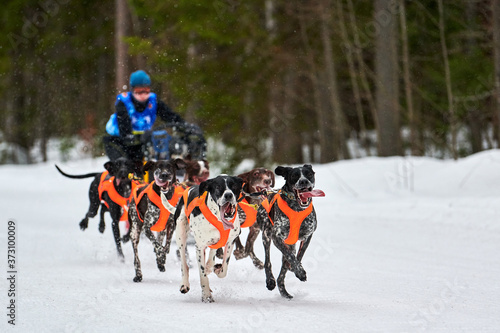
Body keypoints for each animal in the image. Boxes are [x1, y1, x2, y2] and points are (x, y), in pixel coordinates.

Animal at [258, 164, 324, 298]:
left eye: (309, 174)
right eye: (294, 176)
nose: (303, 181)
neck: (297, 209)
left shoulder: (307, 235)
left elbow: (299, 256)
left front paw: (297, 269)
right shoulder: (276, 237)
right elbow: (290, 256)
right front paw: (300, 272)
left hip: (290, 243)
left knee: (281, 275)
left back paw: (285, 293)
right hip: (266, 236)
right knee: (268, 262)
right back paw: (270, 281)